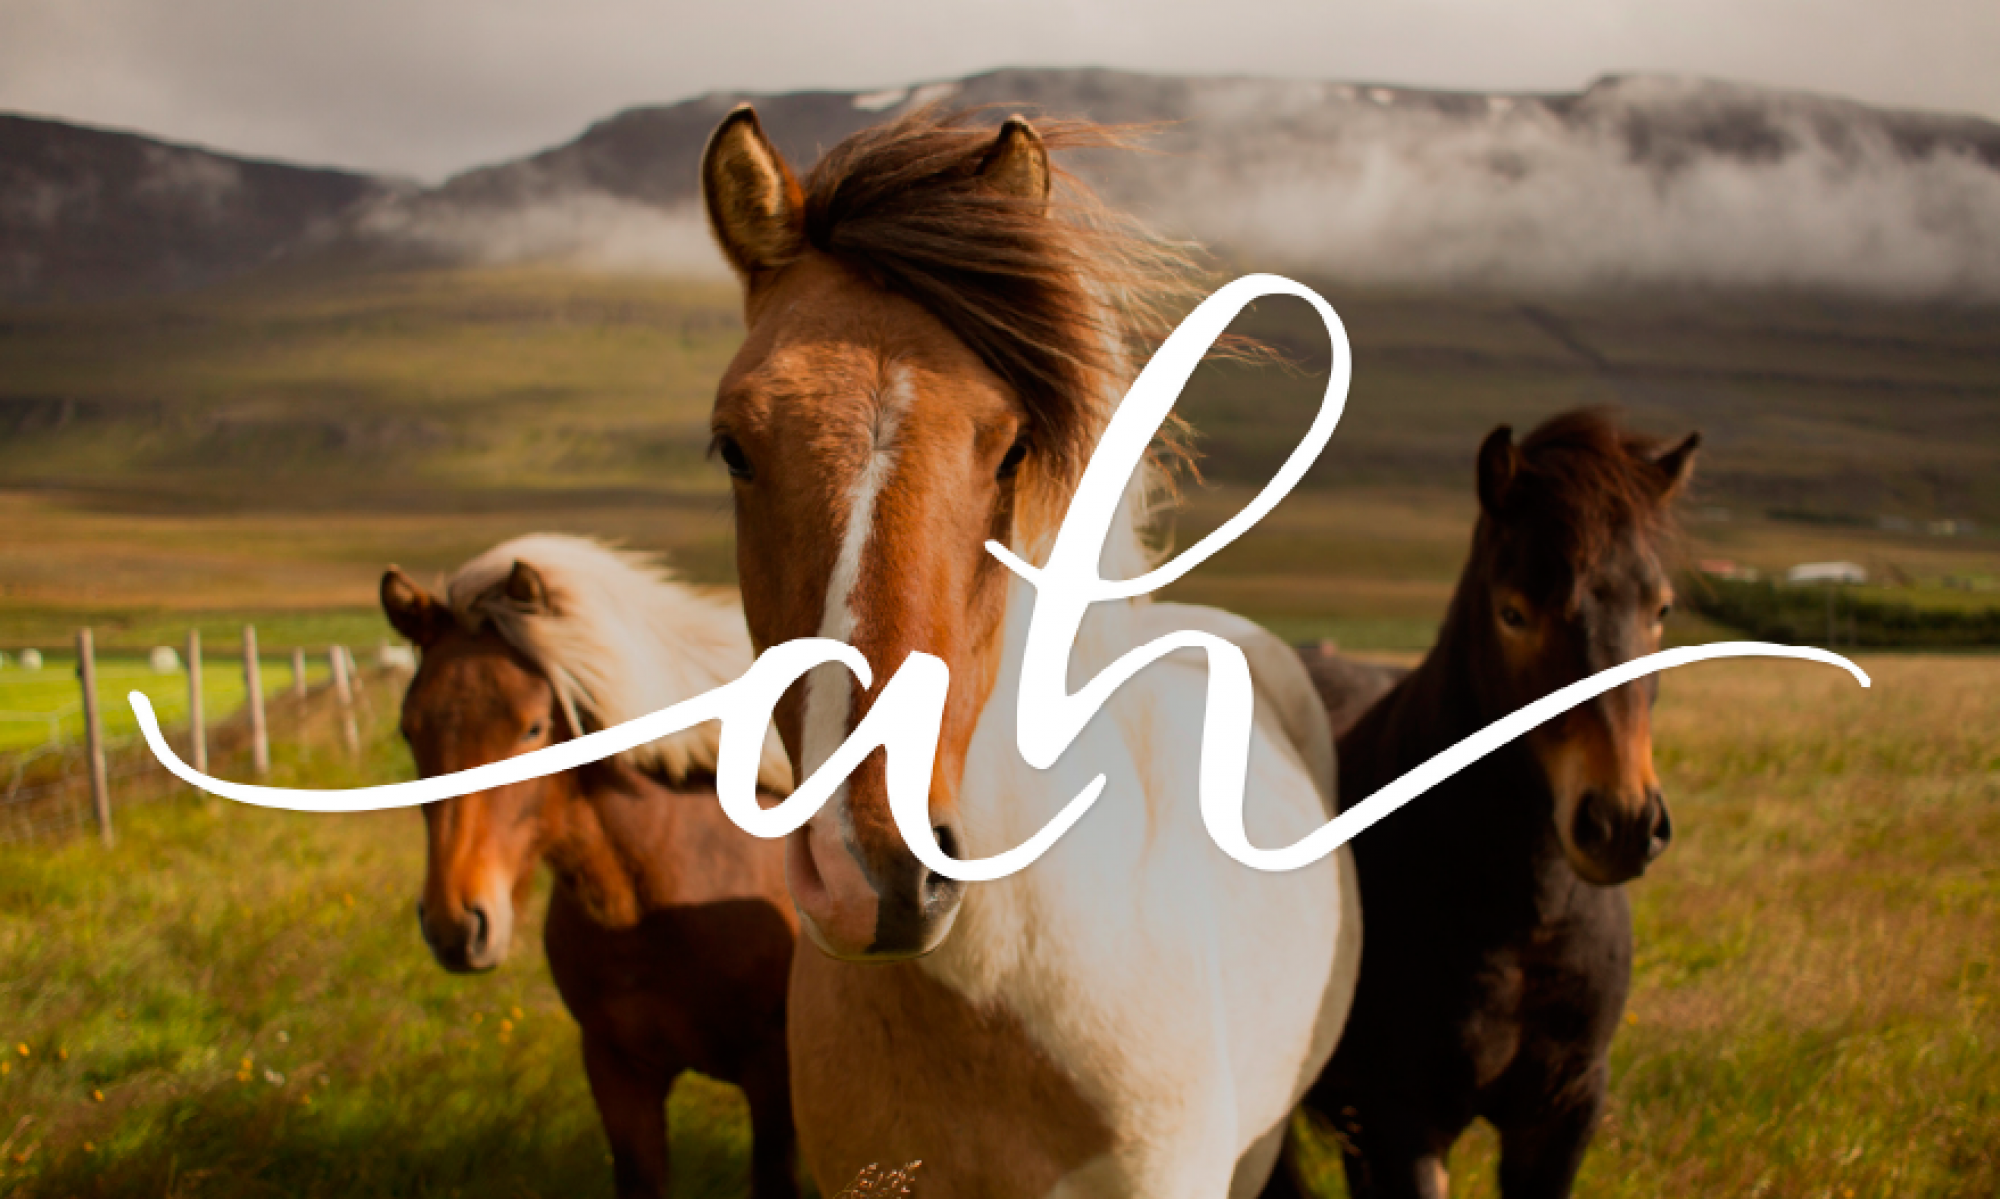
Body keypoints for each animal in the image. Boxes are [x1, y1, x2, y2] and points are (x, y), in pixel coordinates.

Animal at [1291, 410, 1700, 1199]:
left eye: (1660, 609)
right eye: (1514, 612)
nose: (1621, 824)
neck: (1522, 921)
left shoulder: (1561, 1115)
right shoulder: (1403, 1122)